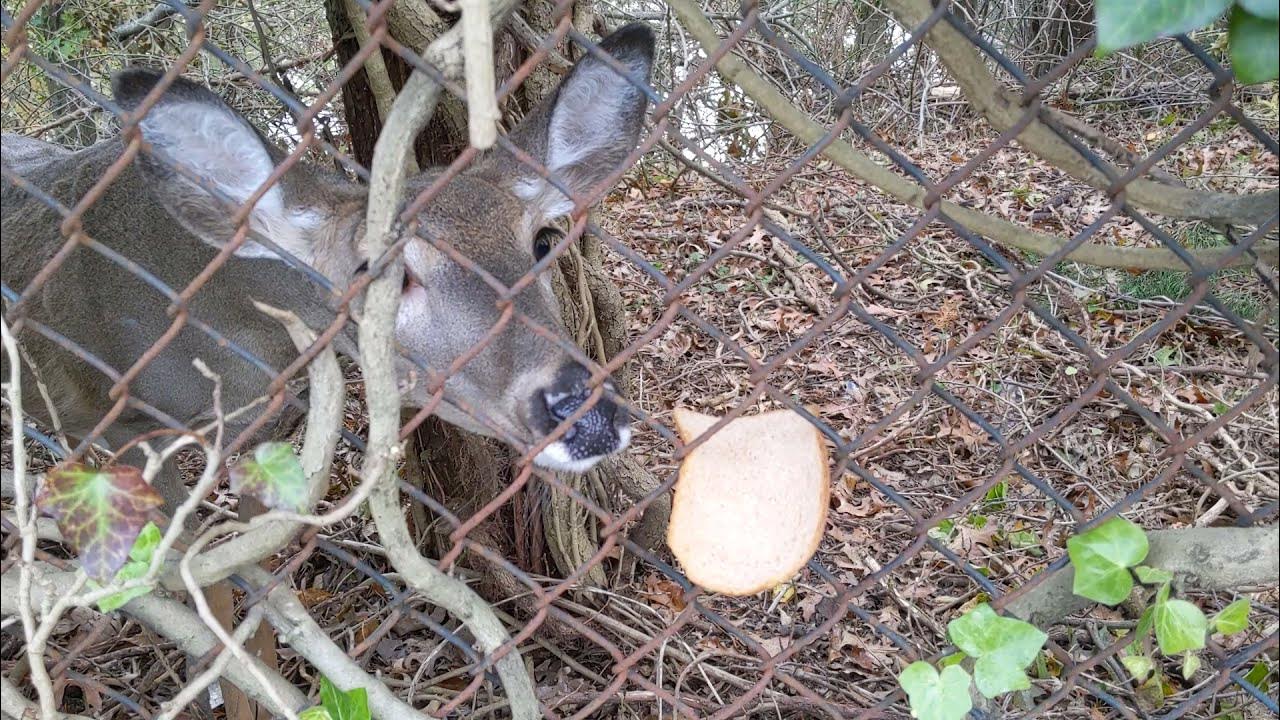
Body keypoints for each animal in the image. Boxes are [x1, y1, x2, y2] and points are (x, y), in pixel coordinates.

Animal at [2, 21, 655, 718]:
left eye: (542, 241)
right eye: (380, 274)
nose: (584, 412)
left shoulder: (263, 435)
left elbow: (256, 591)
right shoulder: (122, 425)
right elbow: (196, 581)